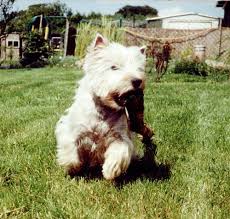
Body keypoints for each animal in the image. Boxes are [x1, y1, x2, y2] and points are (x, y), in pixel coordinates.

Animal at [55, 34, 146, 181]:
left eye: (139, 68)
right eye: (114, 67)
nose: (137, 81)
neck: (103, 110)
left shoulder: (119, 135)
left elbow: (120, 151)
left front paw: (110, 171)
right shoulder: (72, 129)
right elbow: (70, 147)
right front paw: (73, 166)